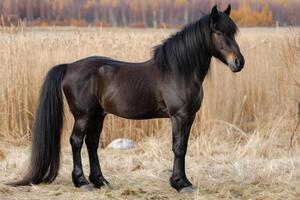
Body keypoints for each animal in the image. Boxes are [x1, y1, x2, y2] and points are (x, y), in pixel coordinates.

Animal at [9, 4, 244, 192]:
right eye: (218, 32)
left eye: (233, 32)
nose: (239, 62)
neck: (178, 71)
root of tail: (68, 66)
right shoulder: (179, 116)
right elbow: (178, 147)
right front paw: (179, 184)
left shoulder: (190, 117)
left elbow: (184, 147)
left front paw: (184, 181)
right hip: (83, 116)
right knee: (76, 142)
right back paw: (82, 182)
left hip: (98, 115)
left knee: (92, 143)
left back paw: (101, 181)